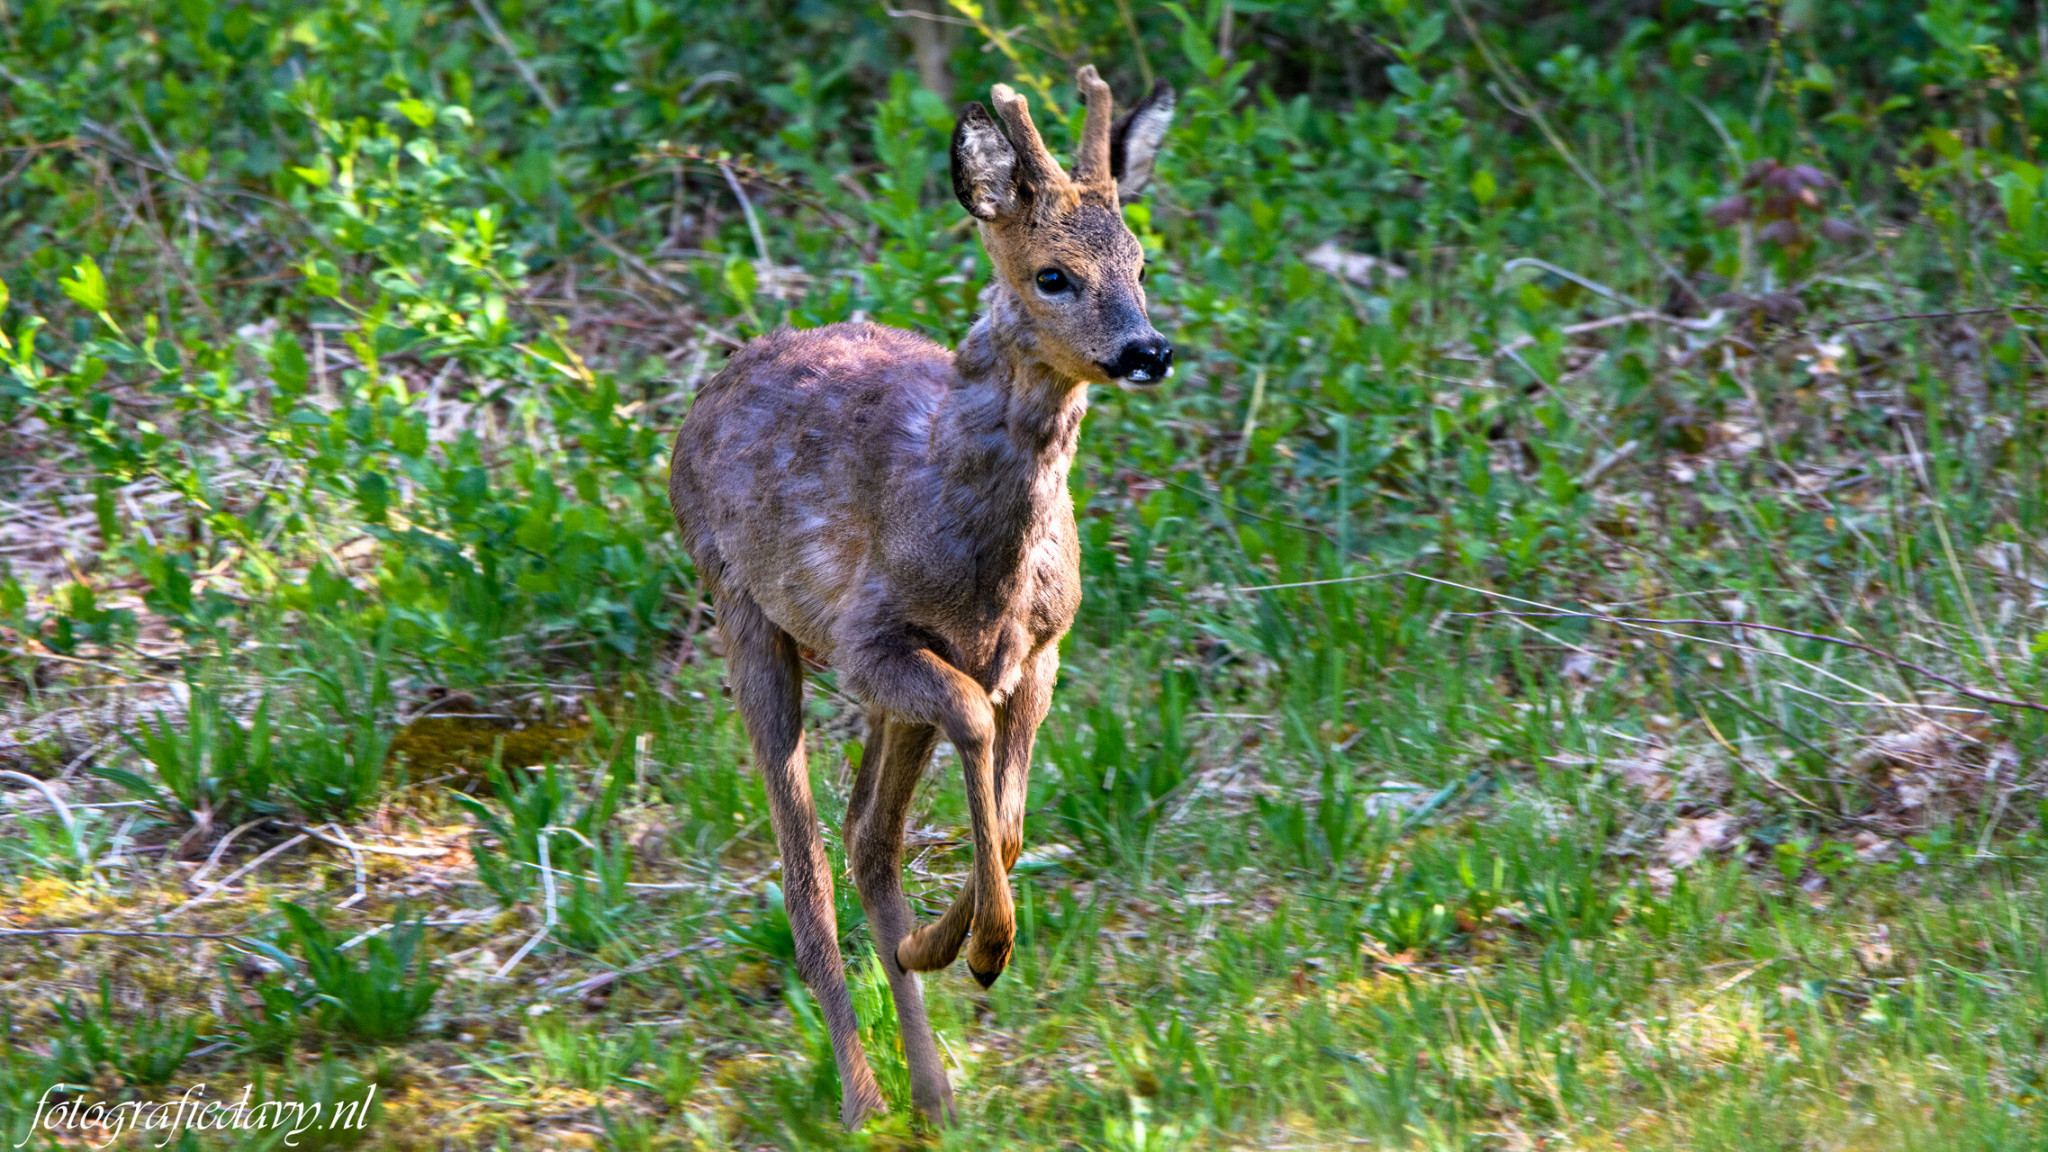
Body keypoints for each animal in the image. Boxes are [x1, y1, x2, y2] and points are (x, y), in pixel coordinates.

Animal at [671, 65, 1179, 1123]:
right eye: (1053, 275)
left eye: (1143, 262)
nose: (1148, 350)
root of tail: (707, 391)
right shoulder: (874, 641)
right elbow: (973, 731)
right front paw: (979, 948)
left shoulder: (1040, 649)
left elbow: (1011, 816)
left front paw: (955, 945)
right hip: (742, 609)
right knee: (807, 867)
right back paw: (867, 1101)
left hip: (875, 693)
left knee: (867, 834)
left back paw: (934, 1088)